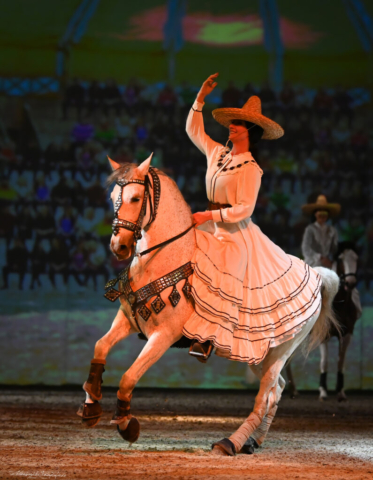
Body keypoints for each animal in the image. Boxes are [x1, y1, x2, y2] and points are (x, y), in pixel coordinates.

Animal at [77, 156, 338, 456]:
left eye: (135, 198)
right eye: (112, 198)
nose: (118, 246)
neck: (163, 258)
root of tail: (317, 275)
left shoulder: (163, 336)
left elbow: (129, 377)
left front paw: (126, 424)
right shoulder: (128, 320)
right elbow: (100, 347)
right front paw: (91, 404)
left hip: (281, 351)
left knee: (264, 396)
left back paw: (230, 442)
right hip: (259, 356)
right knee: (276, 390)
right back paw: (252, 441)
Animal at [284, 240, 360, 402]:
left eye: (356, 258)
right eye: (340, 259)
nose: (350, 283)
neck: (340, 304)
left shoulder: (347, 335)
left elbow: (340, 362)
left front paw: (340, 392)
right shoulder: (324, 335)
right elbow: (324, 363)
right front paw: (323, 391)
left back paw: (292, 390)